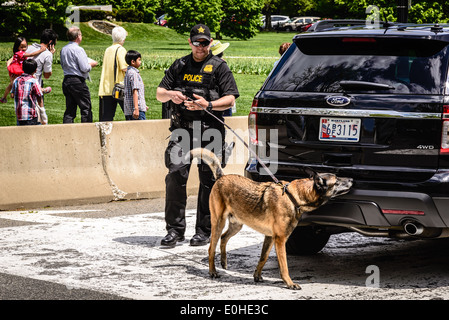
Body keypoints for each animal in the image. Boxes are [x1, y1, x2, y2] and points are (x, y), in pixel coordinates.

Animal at [187, 148, 352, 290]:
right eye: (337, 181)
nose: (351, 178)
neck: (293, 196)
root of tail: (222, 177)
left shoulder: (270, 237)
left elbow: (263, 257)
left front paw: (257, 276)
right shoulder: (280, 240)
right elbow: (284, 265)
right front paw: (289, 283)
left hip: (236, 225)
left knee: (223, 238)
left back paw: (223, 261)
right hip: (218, 222)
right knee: (211, 247)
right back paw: (213, 271)